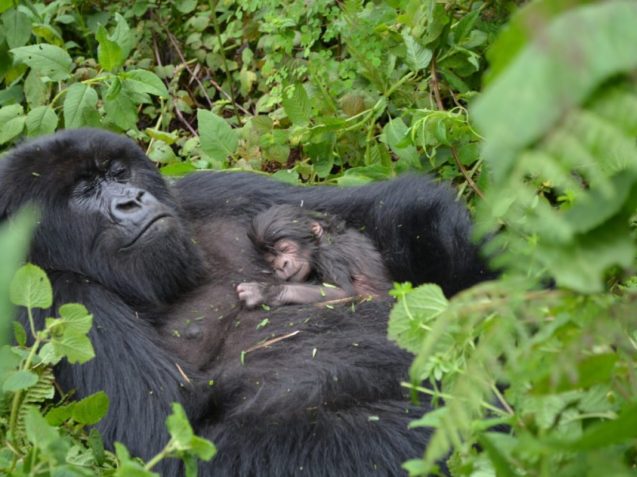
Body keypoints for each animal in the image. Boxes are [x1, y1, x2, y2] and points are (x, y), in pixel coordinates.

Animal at [236, 203, 390, 306]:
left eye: (285, 249)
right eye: (272, 261)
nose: (281, 265)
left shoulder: (329, 257)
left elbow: (344, 293)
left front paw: (265, 292)